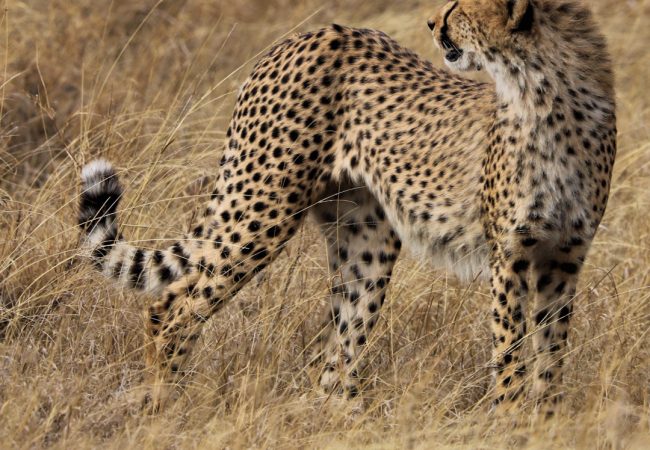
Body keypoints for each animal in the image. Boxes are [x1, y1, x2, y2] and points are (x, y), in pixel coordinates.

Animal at [78, 0, 616, 416]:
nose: (430, 22)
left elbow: (551, 351)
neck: (542, 90)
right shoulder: (510, 254)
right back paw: (164, 403)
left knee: (339, 343)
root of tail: (305, 35)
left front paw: (546, 419)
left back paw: (341, 414)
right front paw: (509, 420)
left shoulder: (563, 258)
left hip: (366, 237)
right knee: (169, 305)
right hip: (262, 209)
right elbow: (511, 350)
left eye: (460, 6)